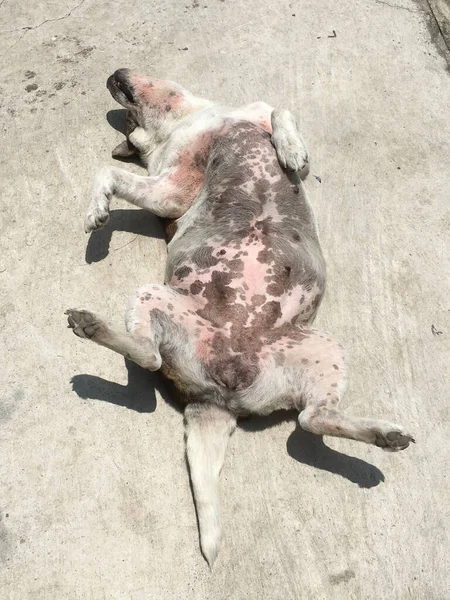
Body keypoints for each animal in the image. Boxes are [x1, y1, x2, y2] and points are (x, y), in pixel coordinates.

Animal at [65, 70, 414, 568]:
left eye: (128, 118)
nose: (113, 76)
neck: (189, 116)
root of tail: (218, 398)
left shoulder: (235, 131)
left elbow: (280, 111)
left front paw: (290, 150)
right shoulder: (169, 189)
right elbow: (107, 172)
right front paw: (96, 209)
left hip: (326, 351)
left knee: (312, 419)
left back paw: (384, 435)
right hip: (151, 295)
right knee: (150, 358)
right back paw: (90, 325)